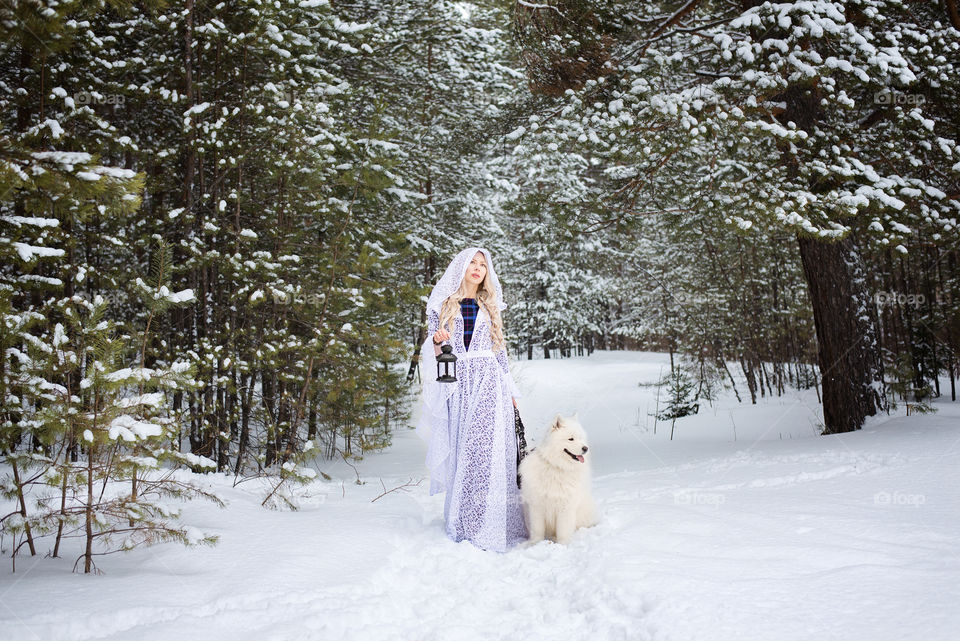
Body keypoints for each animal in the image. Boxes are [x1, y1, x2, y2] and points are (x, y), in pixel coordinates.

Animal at [520, 412, 596, 544]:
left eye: (581, 438)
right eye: (571, 439)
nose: (585, 448)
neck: (556, 466)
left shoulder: (565, 507)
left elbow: (563, 531)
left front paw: (562, 545)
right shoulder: (537, 506)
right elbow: (537, 530)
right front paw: (535, 544)